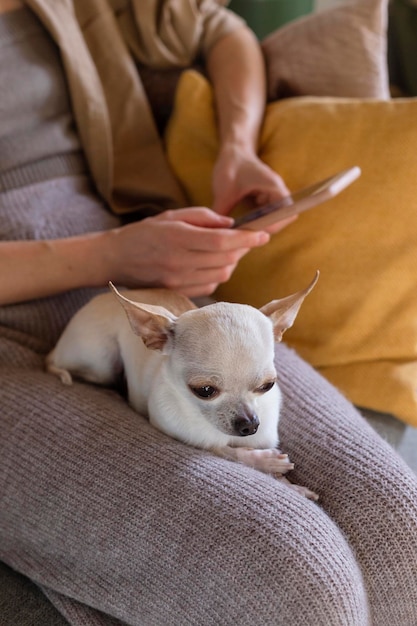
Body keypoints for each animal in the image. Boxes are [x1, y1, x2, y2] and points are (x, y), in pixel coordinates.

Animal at [45, 272, 318, 498]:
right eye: (205, 390)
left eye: (267, 386)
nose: (249, 425)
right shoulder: (185, 435)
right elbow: (225, 450)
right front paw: (267, 463)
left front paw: (291, 485)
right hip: (102, 363)